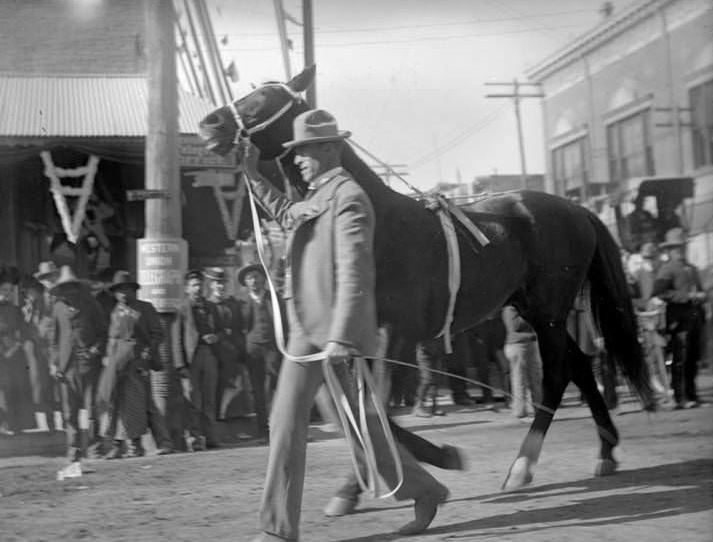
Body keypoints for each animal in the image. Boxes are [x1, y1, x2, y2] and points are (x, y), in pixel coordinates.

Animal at [197, 68, 652, 492]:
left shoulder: (391, 335)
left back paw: (523, 466)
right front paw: (361, 484)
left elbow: (374, 410)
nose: (210, 123)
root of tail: (576, 210)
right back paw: (606, 450)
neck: (378, 226)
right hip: (536, 310)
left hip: (548, 312)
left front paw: (435, 458)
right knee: (579, 363)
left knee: (558, 372)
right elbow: (357, 410)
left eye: (265, 97)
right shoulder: (351, 340)